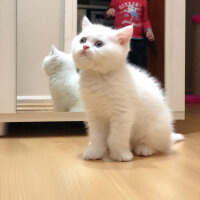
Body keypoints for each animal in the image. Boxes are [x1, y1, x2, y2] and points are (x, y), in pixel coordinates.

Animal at [71, 16, 183, 162]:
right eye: (82, 40)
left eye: (99, 44)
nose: (85, 46)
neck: (98, 77)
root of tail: (169, 135)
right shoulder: (94, 114)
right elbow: (96, 136)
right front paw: (94, 151)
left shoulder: (122, 114)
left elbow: (117, 137)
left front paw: (121, 154)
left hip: (154, 127)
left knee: (157, 145)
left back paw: (144, 148)